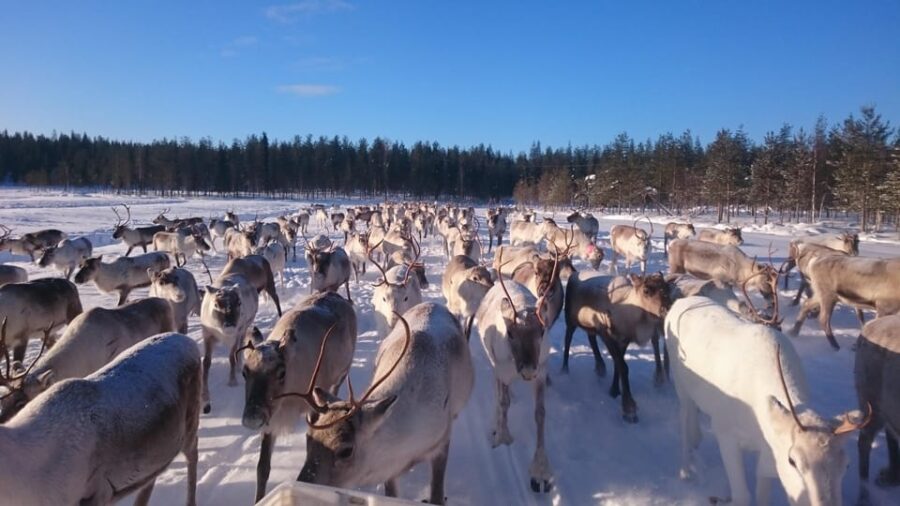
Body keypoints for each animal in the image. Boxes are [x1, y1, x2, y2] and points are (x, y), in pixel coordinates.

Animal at [240, 292, 357, 502]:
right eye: (244, 372)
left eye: (281, 372)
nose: (252, 418)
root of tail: (337, 295)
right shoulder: (271, 417)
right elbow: (262, 468)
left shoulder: (310, 403)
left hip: (343, 372)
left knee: (334, 390)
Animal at [298, 303, 474, 505]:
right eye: (308, 437)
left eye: (346, 451)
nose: (303, 483)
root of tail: (432, 304)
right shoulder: (389, 470)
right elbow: (391, 494)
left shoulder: (442, 440)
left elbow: (437, 496)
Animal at [475, 268, 555, 493]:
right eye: (510, 332)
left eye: (542, 331)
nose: (527, 371)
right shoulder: (502, 370)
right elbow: (503, 404)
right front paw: (502, 437)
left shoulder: (541, 371)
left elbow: (540, 413)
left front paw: (540, 471)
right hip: (494, 363)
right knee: (498, 393)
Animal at [563, 271, 672, 422]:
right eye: (646, 290)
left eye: (667, 288)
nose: (667, 309)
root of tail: (574, 273)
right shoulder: (607, 334)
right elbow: (623, 367)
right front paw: (628, 408)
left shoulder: (624, 340)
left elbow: (617, 365)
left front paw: (614, 390)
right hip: (570, 319)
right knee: (567, 340)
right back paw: (564, 370)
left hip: (590, 325)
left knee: (591, 338)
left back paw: (600, 366)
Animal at [665, 295, 867, 505]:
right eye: (792, 461)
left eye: (847, 465)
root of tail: (679, 301)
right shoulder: (725, 431)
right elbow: (742, 496)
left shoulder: (769, 454)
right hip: (680, 384)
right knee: (685, 415)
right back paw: (686, 470)